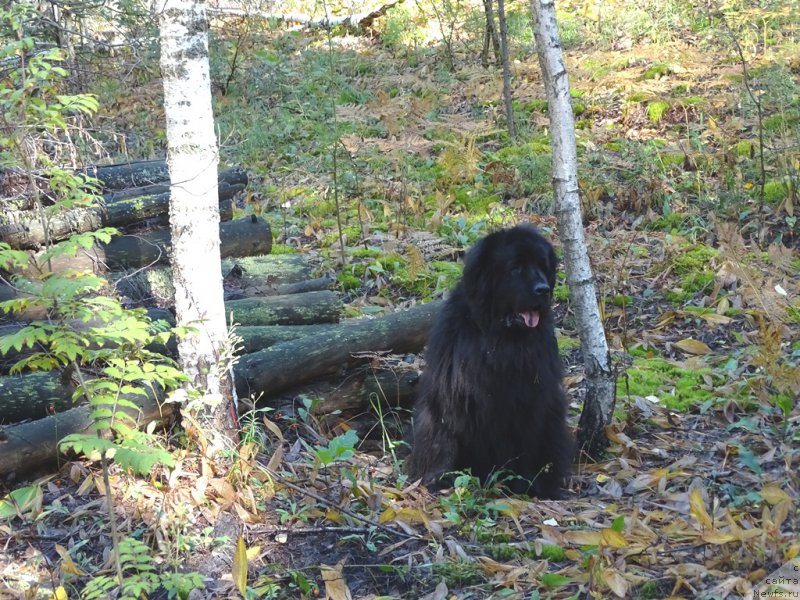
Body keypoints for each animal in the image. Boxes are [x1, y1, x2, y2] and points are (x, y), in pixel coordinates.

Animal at [410, 224, 572, 496]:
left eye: (542, 266)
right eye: (516, 268)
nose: (544, 289)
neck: (504, 339)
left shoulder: (531, 401)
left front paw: (526, 484)